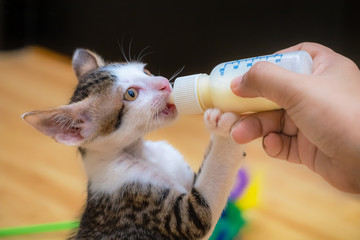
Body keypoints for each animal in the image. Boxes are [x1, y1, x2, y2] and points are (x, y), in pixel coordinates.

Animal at [22, 49, 246, 240]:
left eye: (146, 71)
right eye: (131, 94)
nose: (164, 83)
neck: (139, 152)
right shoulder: (183, 217)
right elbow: (204, 208)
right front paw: (224, 126)